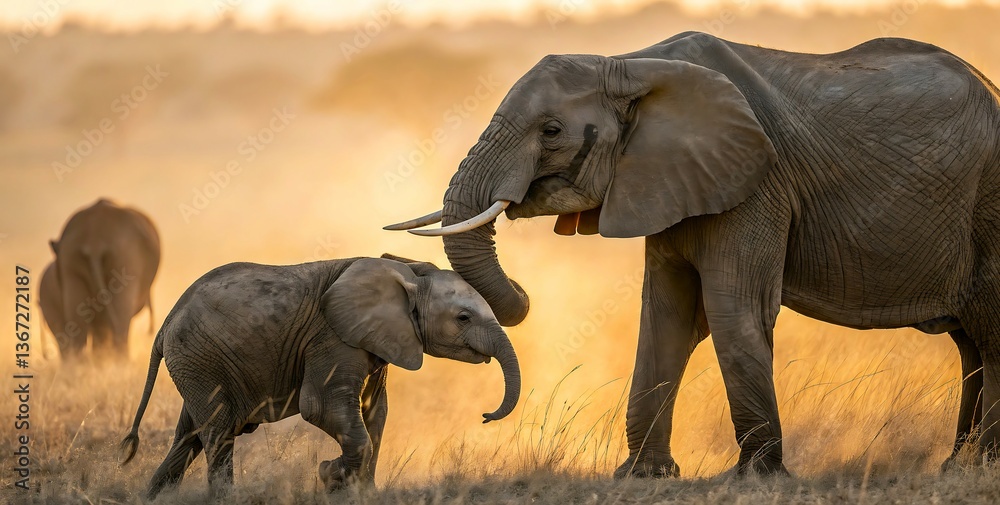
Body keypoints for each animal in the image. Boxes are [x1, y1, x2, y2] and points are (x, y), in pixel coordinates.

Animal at [119, 254, 520, 499]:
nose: (485, 415)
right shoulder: (332, 337)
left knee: (189, 436)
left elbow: (376, 414)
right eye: (463, 318)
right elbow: (321, 408)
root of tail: (166, 324)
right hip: (199, 357)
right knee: (218, 432)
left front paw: (361, 492)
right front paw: (331, 476)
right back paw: (225, 499)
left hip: (196, 364)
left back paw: (152, 498)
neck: (407, 272)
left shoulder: (377, 341)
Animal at [387, 33, 1000, 476]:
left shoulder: (756, 182)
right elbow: (667, 314)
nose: (521, 295)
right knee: (971, 344)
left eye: (553, 130)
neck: (629, 63)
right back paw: (956, 467)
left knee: (989, 333)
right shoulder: (667, 180)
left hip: (989, 204)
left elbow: (732, 310)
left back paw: (981, 465)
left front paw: (755, 478)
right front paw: (643, 476)